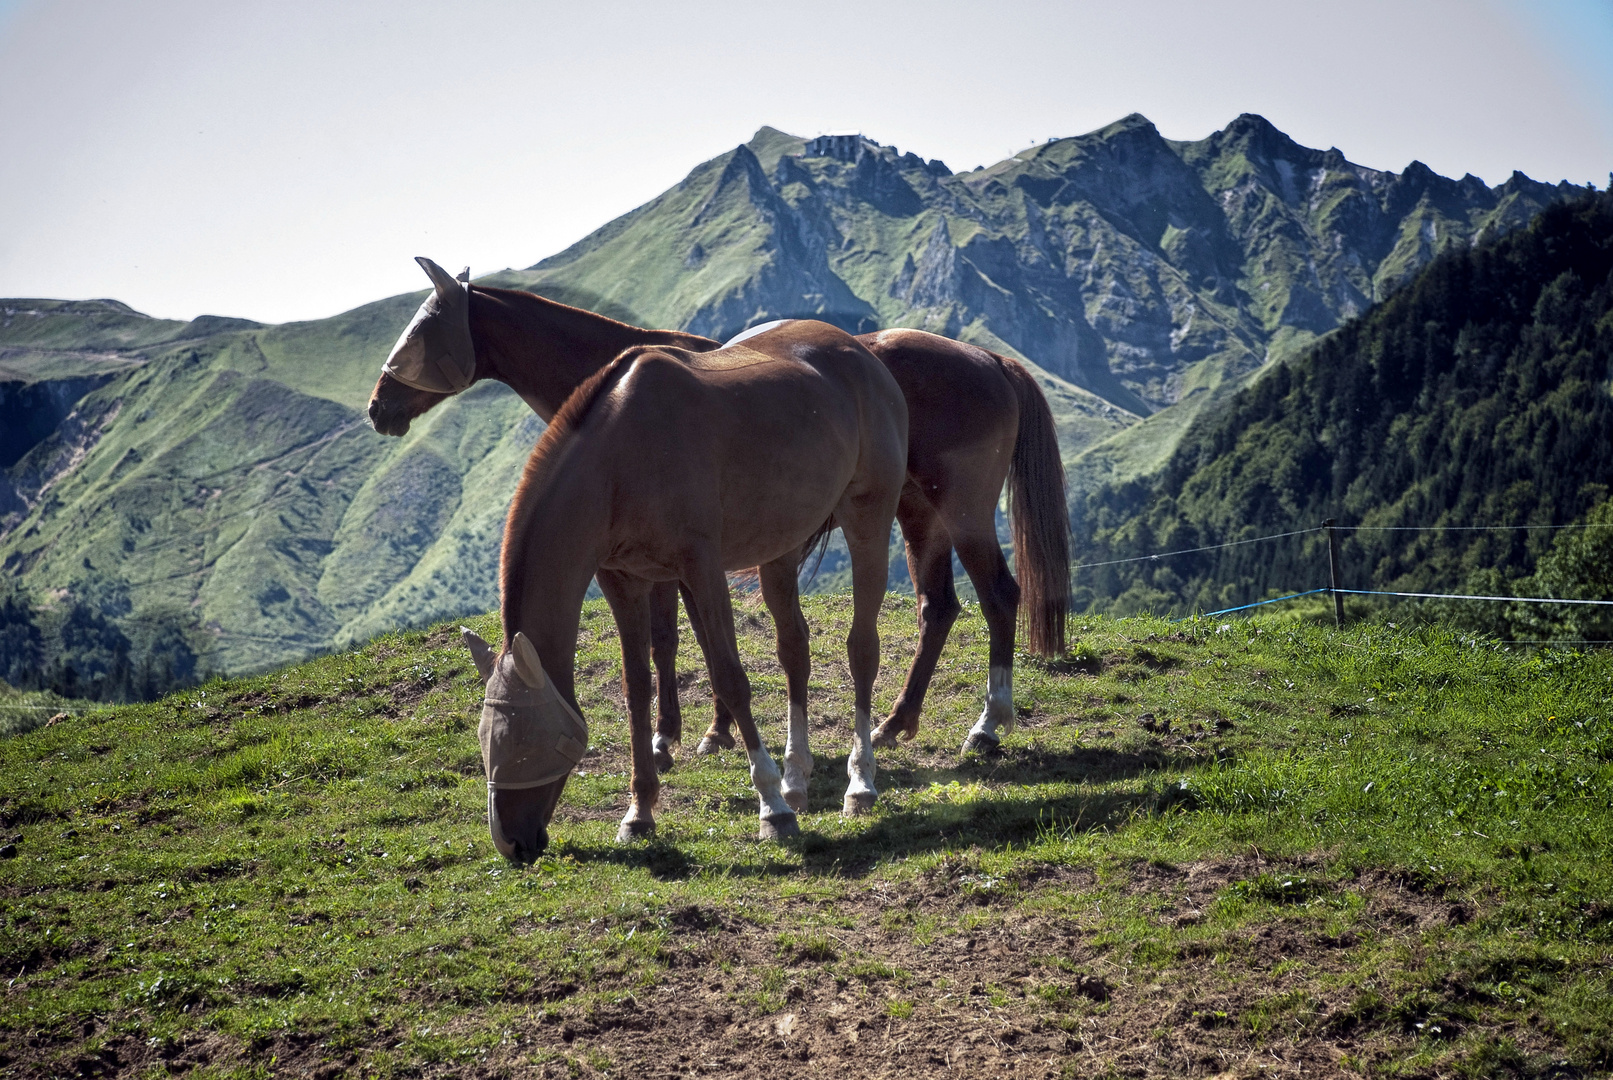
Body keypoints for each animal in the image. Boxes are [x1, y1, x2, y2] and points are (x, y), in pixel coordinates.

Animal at [369, 259, 1064, 760]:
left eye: (421, 330)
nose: (378, 406)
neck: (617, 394)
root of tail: (991, 360)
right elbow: (673, 641)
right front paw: (690, 730)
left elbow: (687, 640)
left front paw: (697, 732)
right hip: (918, 519)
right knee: (938, 608)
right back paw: (896, 722)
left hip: (962, 515)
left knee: (999, 595)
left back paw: (988, 725)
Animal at [454, 322, 909, 864]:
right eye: (485, 742)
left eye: (525, 743)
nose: (510, 841)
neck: (620, 458)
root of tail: (862, 352)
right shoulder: (623, 581)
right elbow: (636, 690)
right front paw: (639, 812)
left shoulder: (702, 569)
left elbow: (730, 678)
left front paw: (772, 809)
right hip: (779, 549)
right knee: (794, 649)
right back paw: (797, 776)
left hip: (868, 522)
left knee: (861, 648)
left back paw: (858, 783)